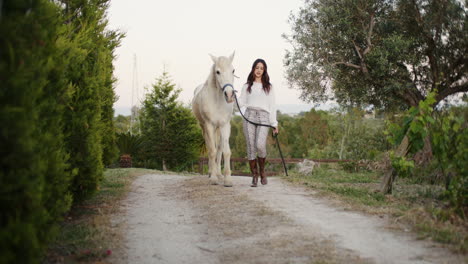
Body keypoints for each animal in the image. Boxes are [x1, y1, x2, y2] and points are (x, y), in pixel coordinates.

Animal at [192, 52, 236, 187]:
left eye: (233, 70)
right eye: (217, 72)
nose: (229, 94)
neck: (217, 101)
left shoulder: (225, 125)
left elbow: (225, 151)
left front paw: (227, 179)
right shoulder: (209, 125)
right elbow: (211, 150)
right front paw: (213, 178)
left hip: (218, 129)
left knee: (219, 149)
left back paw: (219, 173)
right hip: (204, 128)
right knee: (210, 146)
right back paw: (211, 172)